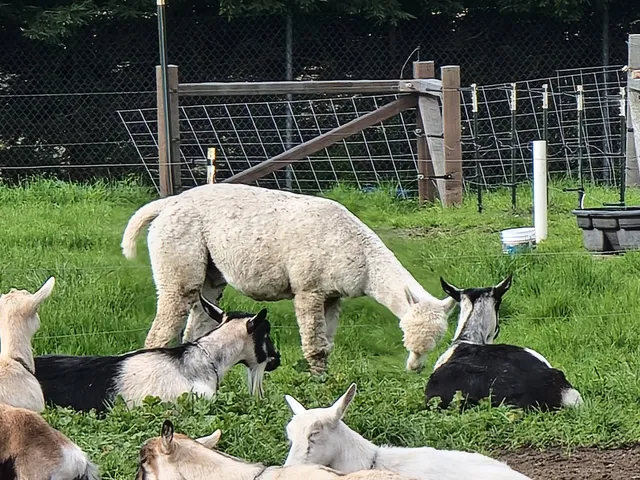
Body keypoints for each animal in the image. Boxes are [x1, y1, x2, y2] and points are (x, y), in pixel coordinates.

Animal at [120, 183, 456, 376]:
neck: (359, 252)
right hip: (179, 252)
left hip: (211, 272)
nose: (416, 367)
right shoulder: (309, 288)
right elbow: (315, 345)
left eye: (437, 341)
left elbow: (327, 344)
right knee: (165, 320)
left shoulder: (333, 295)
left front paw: (323, 380)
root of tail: (167, 203)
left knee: (197, 324)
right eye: (406, 336)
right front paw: (317, 386)